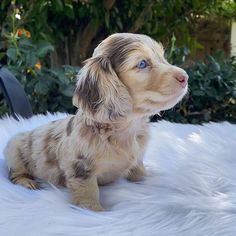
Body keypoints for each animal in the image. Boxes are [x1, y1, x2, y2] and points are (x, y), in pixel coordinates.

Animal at [3, 32, 188, 210]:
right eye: (142, 64)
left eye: (162, 57)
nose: (185, 77)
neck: (127, 128)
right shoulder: (81, 169)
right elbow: (89, 194)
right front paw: (96, 212)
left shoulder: (137, 162)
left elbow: (140, 173)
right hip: (14, 148)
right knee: (14, 174)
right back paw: (27, 182)